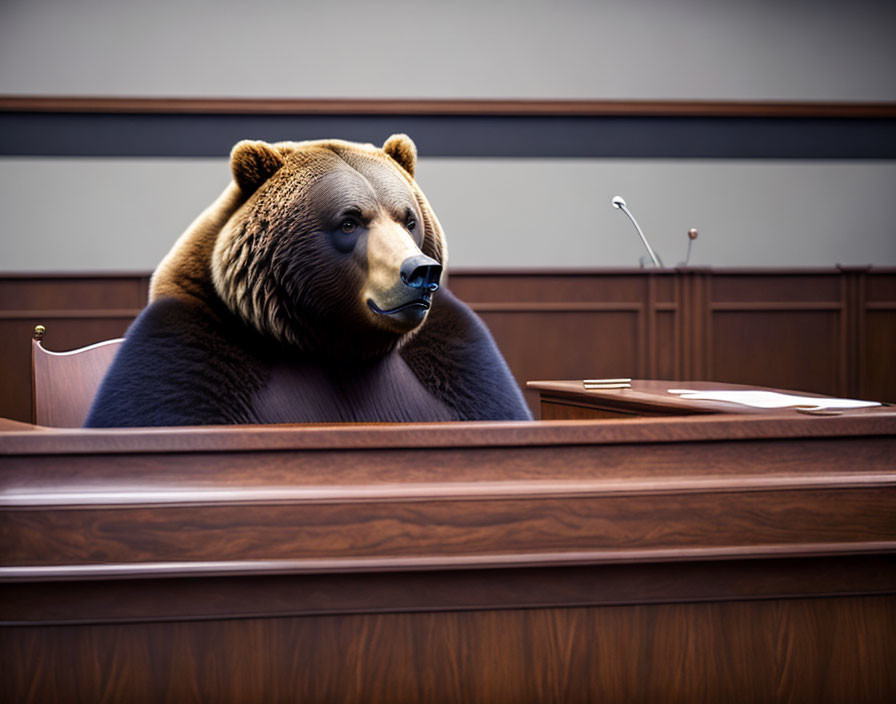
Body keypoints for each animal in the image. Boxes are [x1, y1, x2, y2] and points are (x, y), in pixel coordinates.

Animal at [86, 135, 532, 426]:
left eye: (409, 219)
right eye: (350, 221)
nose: (420, 271)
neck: (331, 344)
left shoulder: (455, 362)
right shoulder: (191, 351)